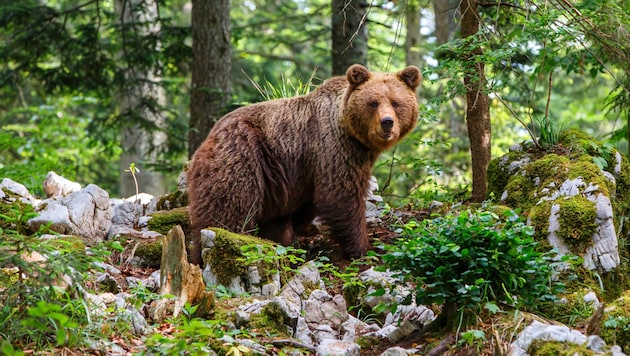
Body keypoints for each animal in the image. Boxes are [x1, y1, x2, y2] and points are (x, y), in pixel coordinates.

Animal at [188, 63, 424, 264]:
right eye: (373, 102)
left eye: (396, 102)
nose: (387, 122)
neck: (355, 137)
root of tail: (208, 138)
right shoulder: (333, 148)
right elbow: (342, 196)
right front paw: (362, 247)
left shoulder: (311, 168)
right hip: (242, 155)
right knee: (229, 208)